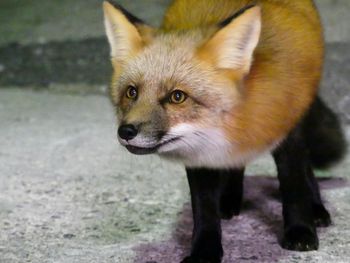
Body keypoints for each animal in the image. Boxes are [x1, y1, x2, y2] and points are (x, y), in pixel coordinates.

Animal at [102, 1, 346, 262]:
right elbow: (204, 209)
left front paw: (300, 230)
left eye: (177, 97)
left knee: (305, 167)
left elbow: (294, 184)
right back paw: (229, 198)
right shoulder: (197, 151)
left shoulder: (288, 134)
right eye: (132, 92)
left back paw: (316, 208)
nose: (126, 131)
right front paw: (204, 251)